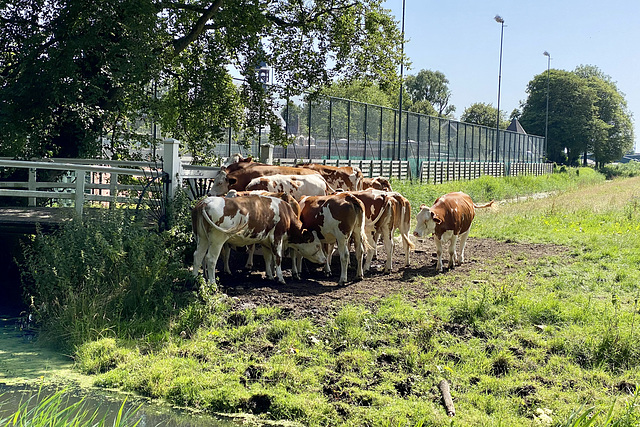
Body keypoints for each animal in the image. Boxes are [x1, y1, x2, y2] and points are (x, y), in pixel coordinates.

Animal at [191, 194, 328, 284]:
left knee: (198, 256)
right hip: (217, 240)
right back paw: (212, 283)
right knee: (210, 259)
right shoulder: (277, 237)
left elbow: (268, 258)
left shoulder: (265, 241)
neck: (286, 214)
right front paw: (280, 278)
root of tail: (205, 202)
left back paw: (194, 280)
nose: (324, 259)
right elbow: (278, 258)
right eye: (317, 245)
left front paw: (270, 276)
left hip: (202, 238)